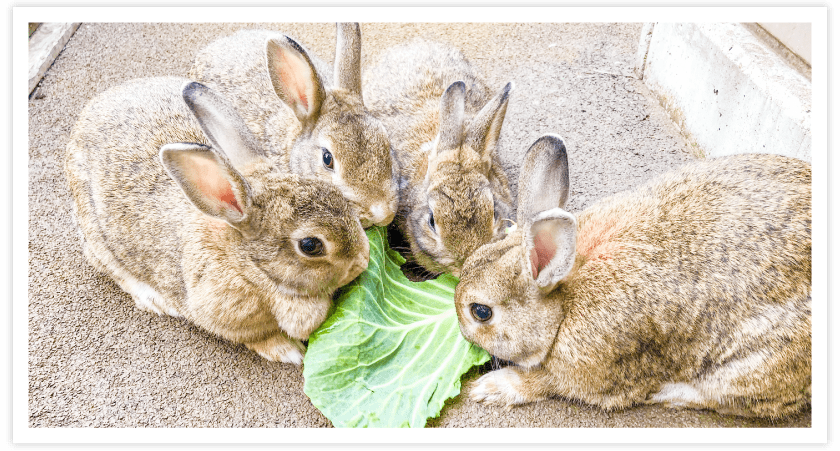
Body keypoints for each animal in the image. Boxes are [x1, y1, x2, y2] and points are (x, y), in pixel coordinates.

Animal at [62, 77, 370, 366]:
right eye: (310, 245)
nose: (363, 259)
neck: (247, 266)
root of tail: (87, 113)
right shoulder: (228, 318)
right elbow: (261, 337)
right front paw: (289, 352)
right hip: (97, 239)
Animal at [456, 135, 812, 420]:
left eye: (481, 312)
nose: (461, 332)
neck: (563, 304)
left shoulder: (595, 373)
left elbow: (544, 382)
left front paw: (490, 388)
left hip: (753, 367)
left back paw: (670, 394)